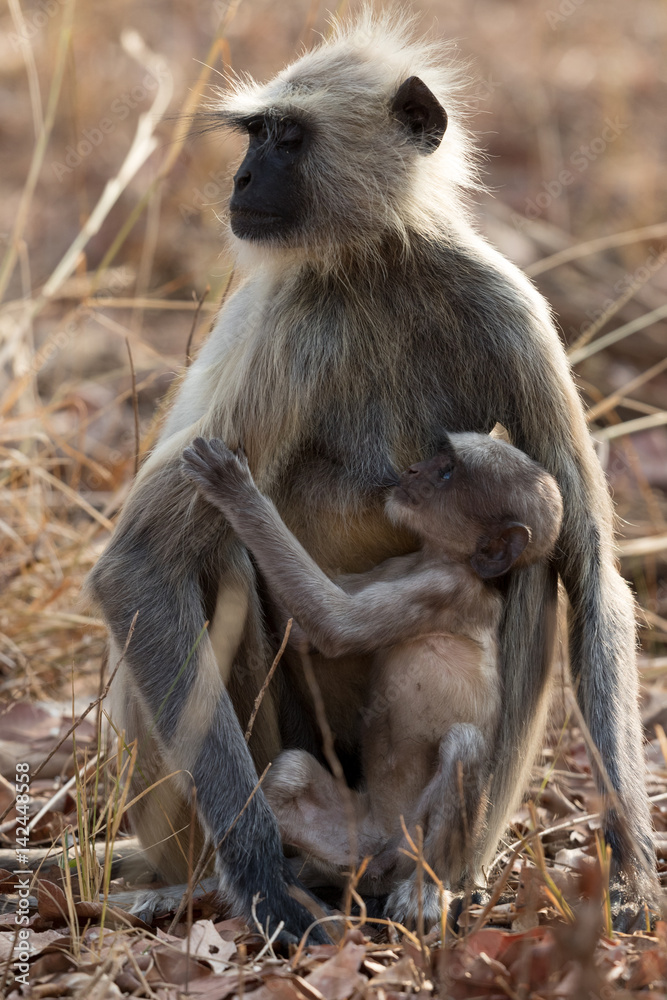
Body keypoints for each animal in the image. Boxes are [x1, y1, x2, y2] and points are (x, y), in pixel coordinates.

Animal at [180, 431, 564, 926]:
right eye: (437, 461)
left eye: (447, 473)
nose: (413, 471)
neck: (446, 559)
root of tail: (381, 848)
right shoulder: (400, 565)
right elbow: (307, 633)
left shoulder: (443, 589)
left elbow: (336, 626)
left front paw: (236, 492)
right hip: (352, 833)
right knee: (290, 774)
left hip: (412, 840)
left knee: (464, 746)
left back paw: (422, 892)